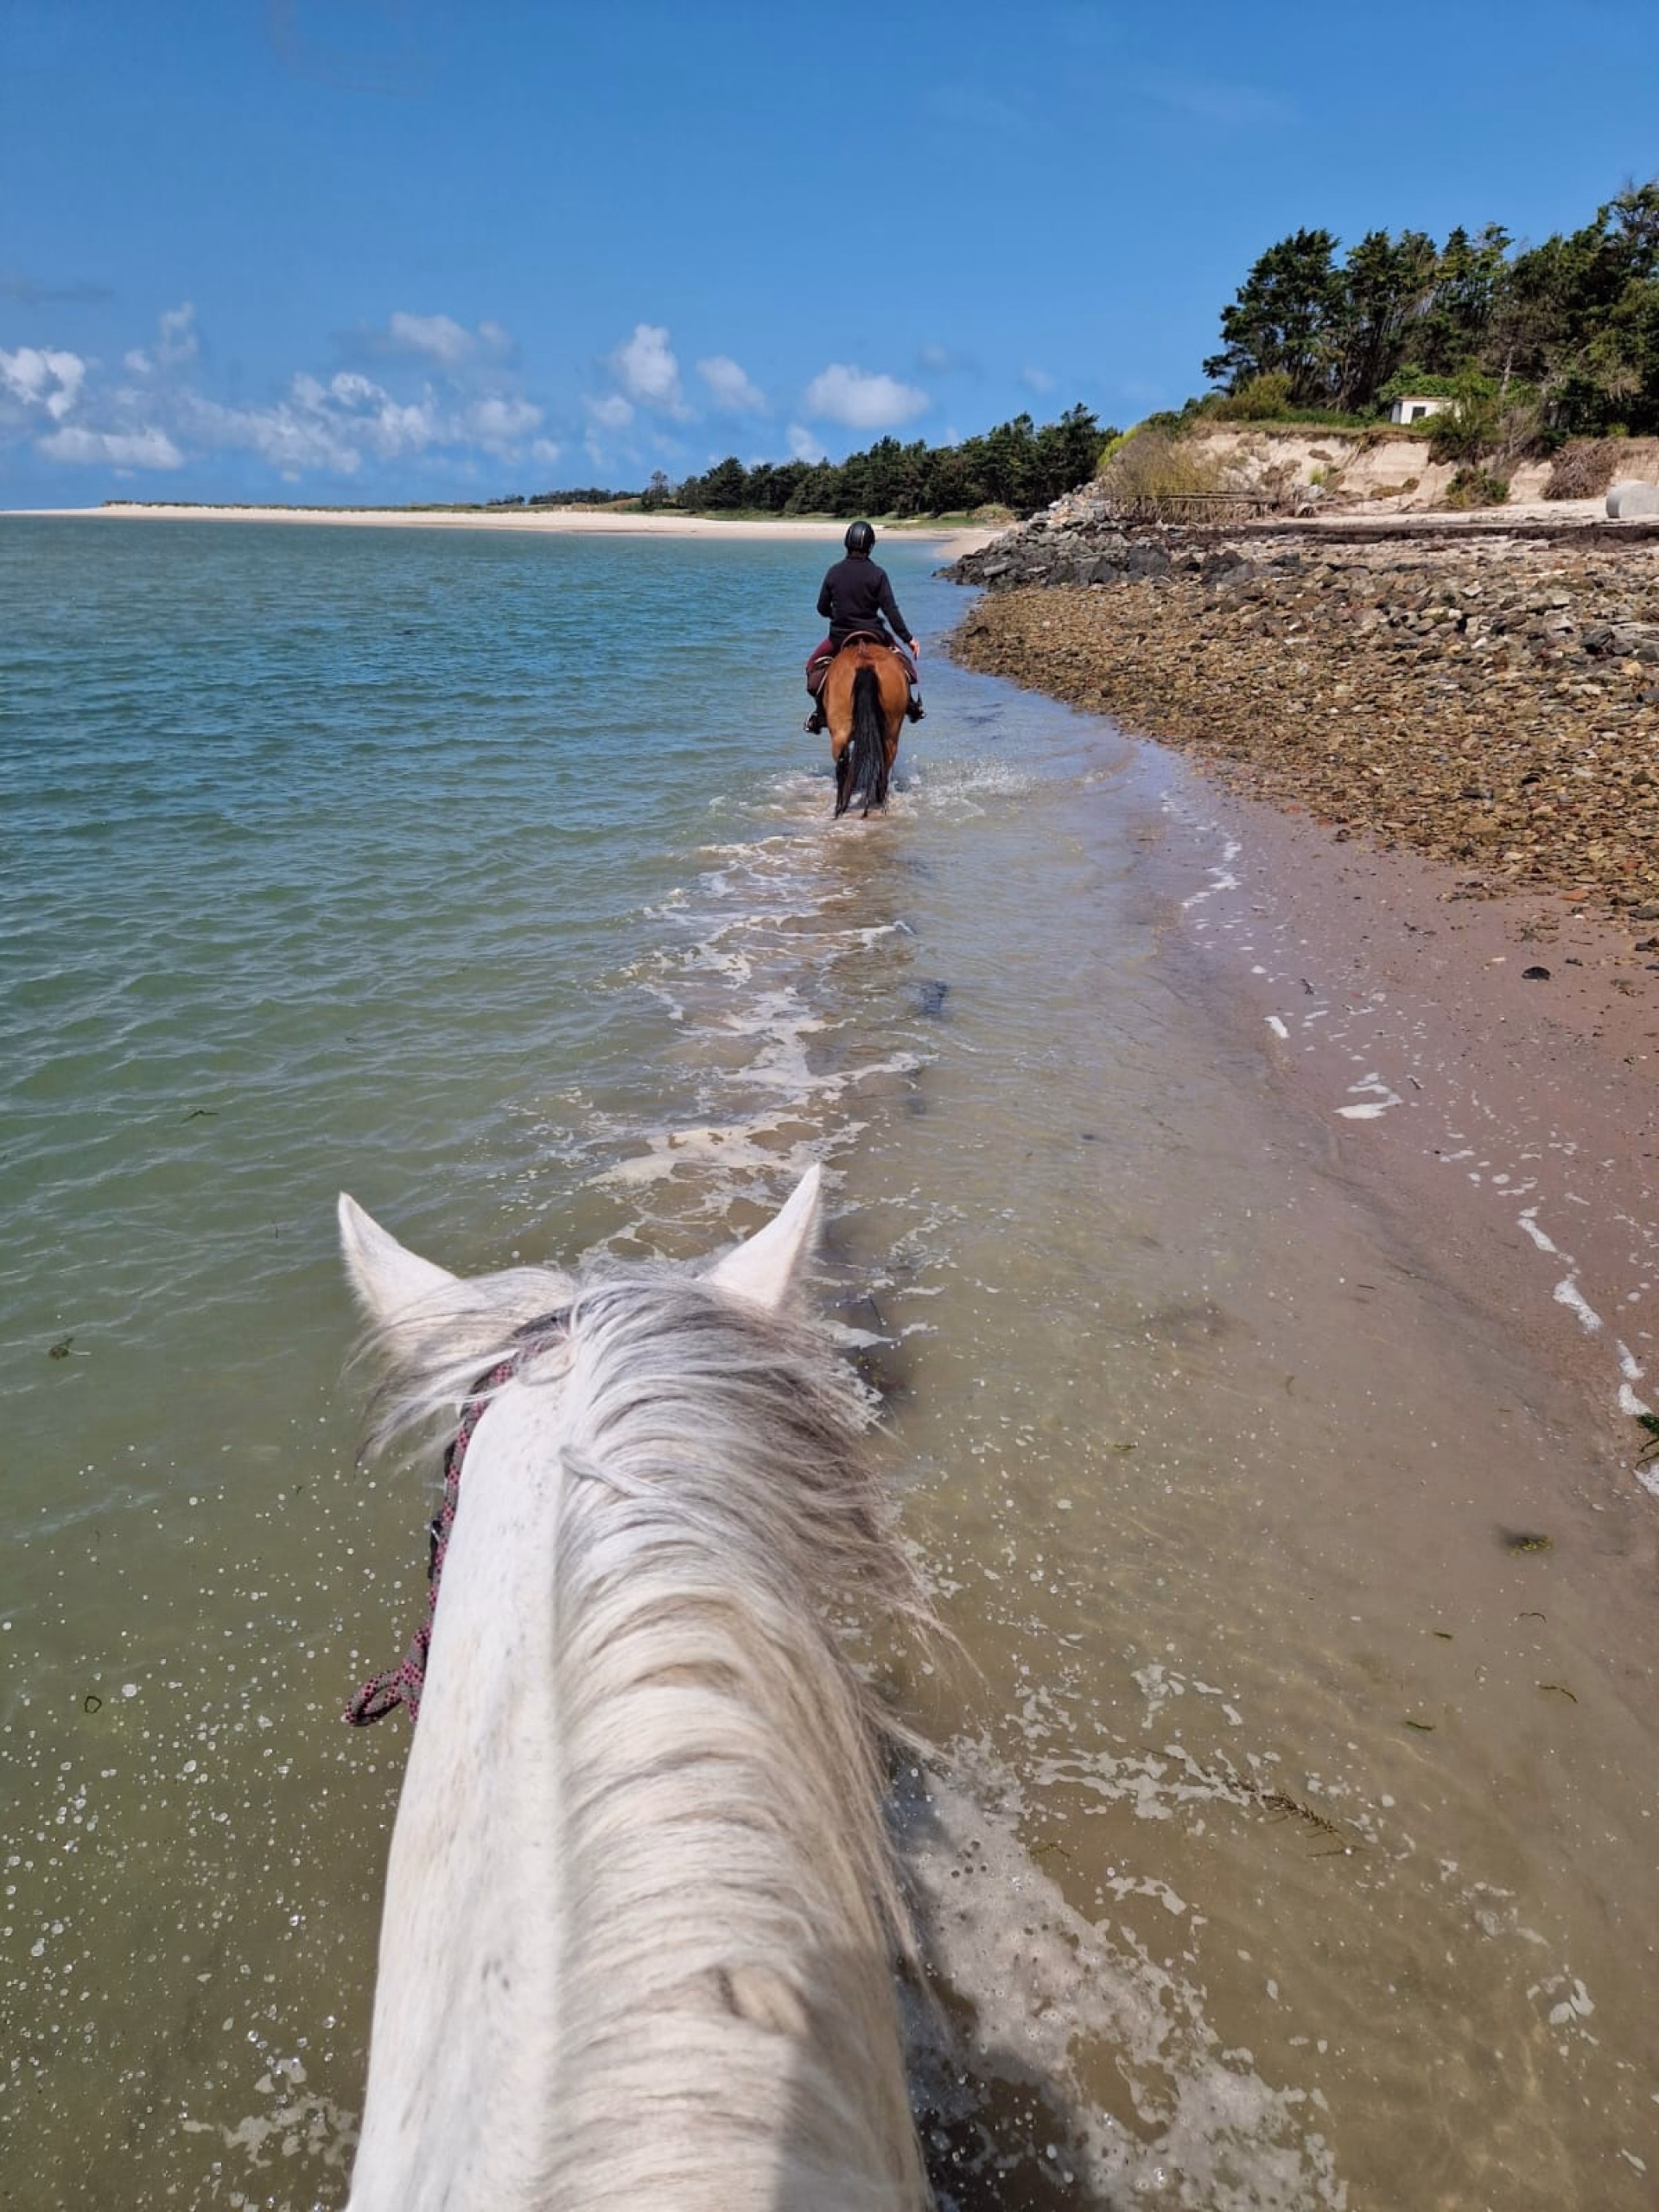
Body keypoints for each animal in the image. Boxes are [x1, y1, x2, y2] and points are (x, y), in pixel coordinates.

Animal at [820, 638, 910, 820]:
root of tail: (864, 660)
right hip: (891, 730)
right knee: (884, 760)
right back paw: (878, 802)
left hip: (841, 729)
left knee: (843, 762)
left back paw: (841, 807)